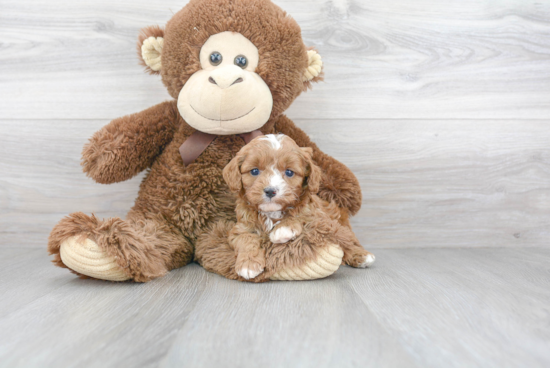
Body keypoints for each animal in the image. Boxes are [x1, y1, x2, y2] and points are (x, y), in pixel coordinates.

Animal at [223, 135, 376, 282]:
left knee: (348, 239)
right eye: (254, 171)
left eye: (289, 172)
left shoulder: (317, 215)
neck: (273, 212)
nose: (271, 191)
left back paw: (362, 255)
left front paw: (283, 228)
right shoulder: (241, 228)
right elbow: (246, 239)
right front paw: (248, 265)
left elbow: (302, 216)